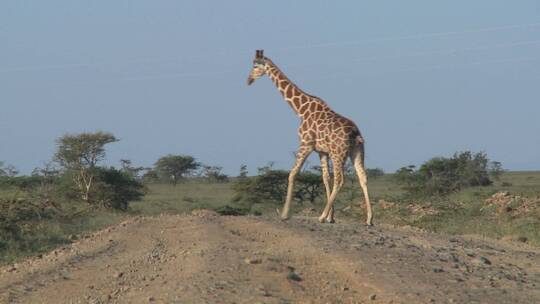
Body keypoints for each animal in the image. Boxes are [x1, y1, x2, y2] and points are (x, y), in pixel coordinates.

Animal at [247, 50, 374, 226]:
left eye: (255, 66)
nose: (248, 80)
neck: (300, 109)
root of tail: (355, 133)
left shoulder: (305, 144)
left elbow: (292, 174)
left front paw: (285, 214)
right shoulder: (321, 151)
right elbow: (325, 178)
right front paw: (331, 217)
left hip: (338, 153)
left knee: (340, 179)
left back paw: (321, 216)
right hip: (357, 151)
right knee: (363, 177)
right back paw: (369, 219)